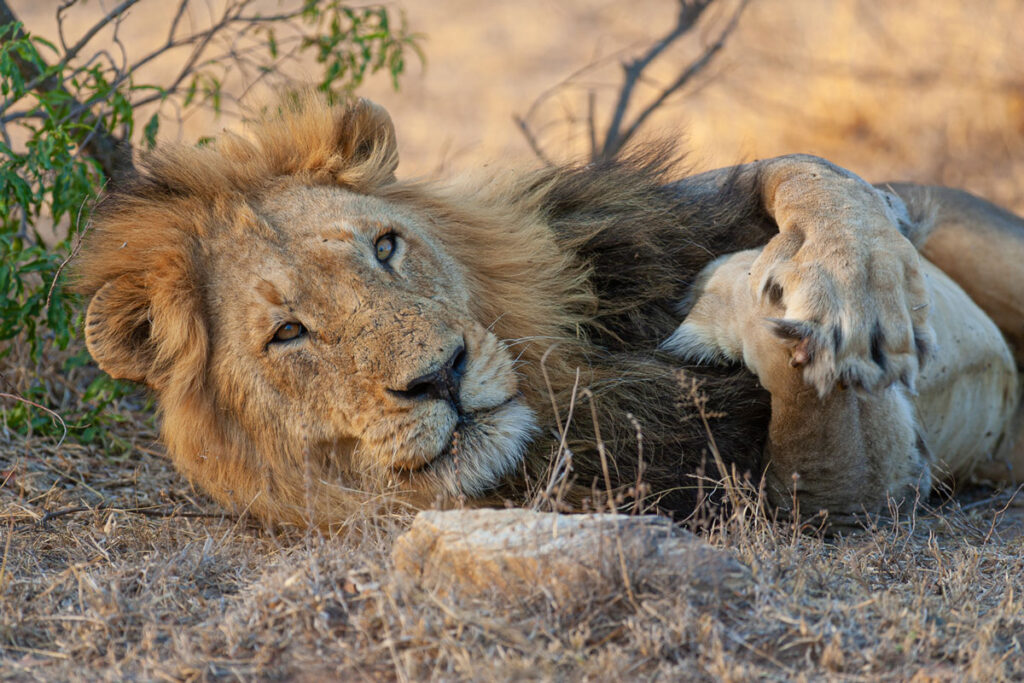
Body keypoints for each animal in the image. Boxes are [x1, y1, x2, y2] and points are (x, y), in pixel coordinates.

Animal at [74, 95, 1024, 528]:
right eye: (287, 333)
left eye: (385, 246)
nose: (442, 376)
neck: (565, 382)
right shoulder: (842, 488)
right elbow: (798, 387)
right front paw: (739, 297)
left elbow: (810, 171)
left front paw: (854, 277)